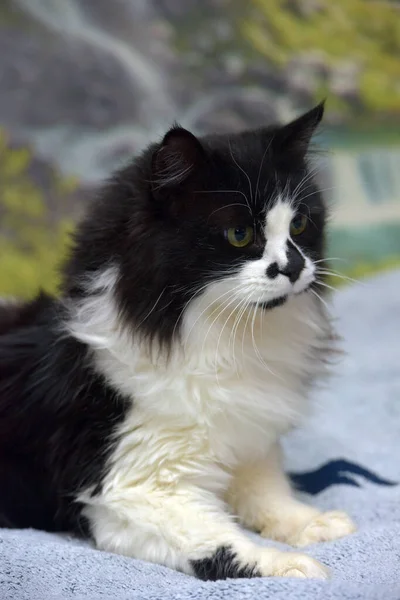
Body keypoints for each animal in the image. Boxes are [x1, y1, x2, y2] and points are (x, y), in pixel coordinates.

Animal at [0, 104, 356, 580]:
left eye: (299, 225)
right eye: (239, 235)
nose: (294, 267)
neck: (226, 337)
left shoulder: (250, 443)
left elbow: (271, 497)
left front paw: (312, 523)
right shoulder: (130, 487)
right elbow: (225, 545)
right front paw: (292, 567)